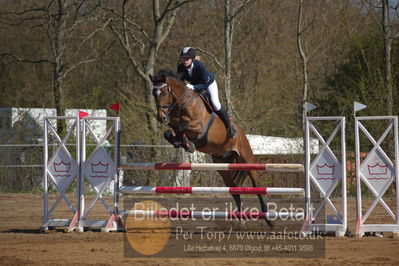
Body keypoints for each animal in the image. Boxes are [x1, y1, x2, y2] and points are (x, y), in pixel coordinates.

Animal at [150, 70, 272, 227]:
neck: (183, 104)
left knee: (257, 186)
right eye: (154, 93)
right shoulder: (173, 125)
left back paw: (268, 219)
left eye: (165, 92)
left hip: (247, 160)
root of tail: (242, 133)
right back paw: (241, 221)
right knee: (234, 190)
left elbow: (182, 127)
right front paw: (182, 143)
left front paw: (187, 144)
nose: (161, 118)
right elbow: (170, 132)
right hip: (223, 166)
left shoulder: (198, 127)